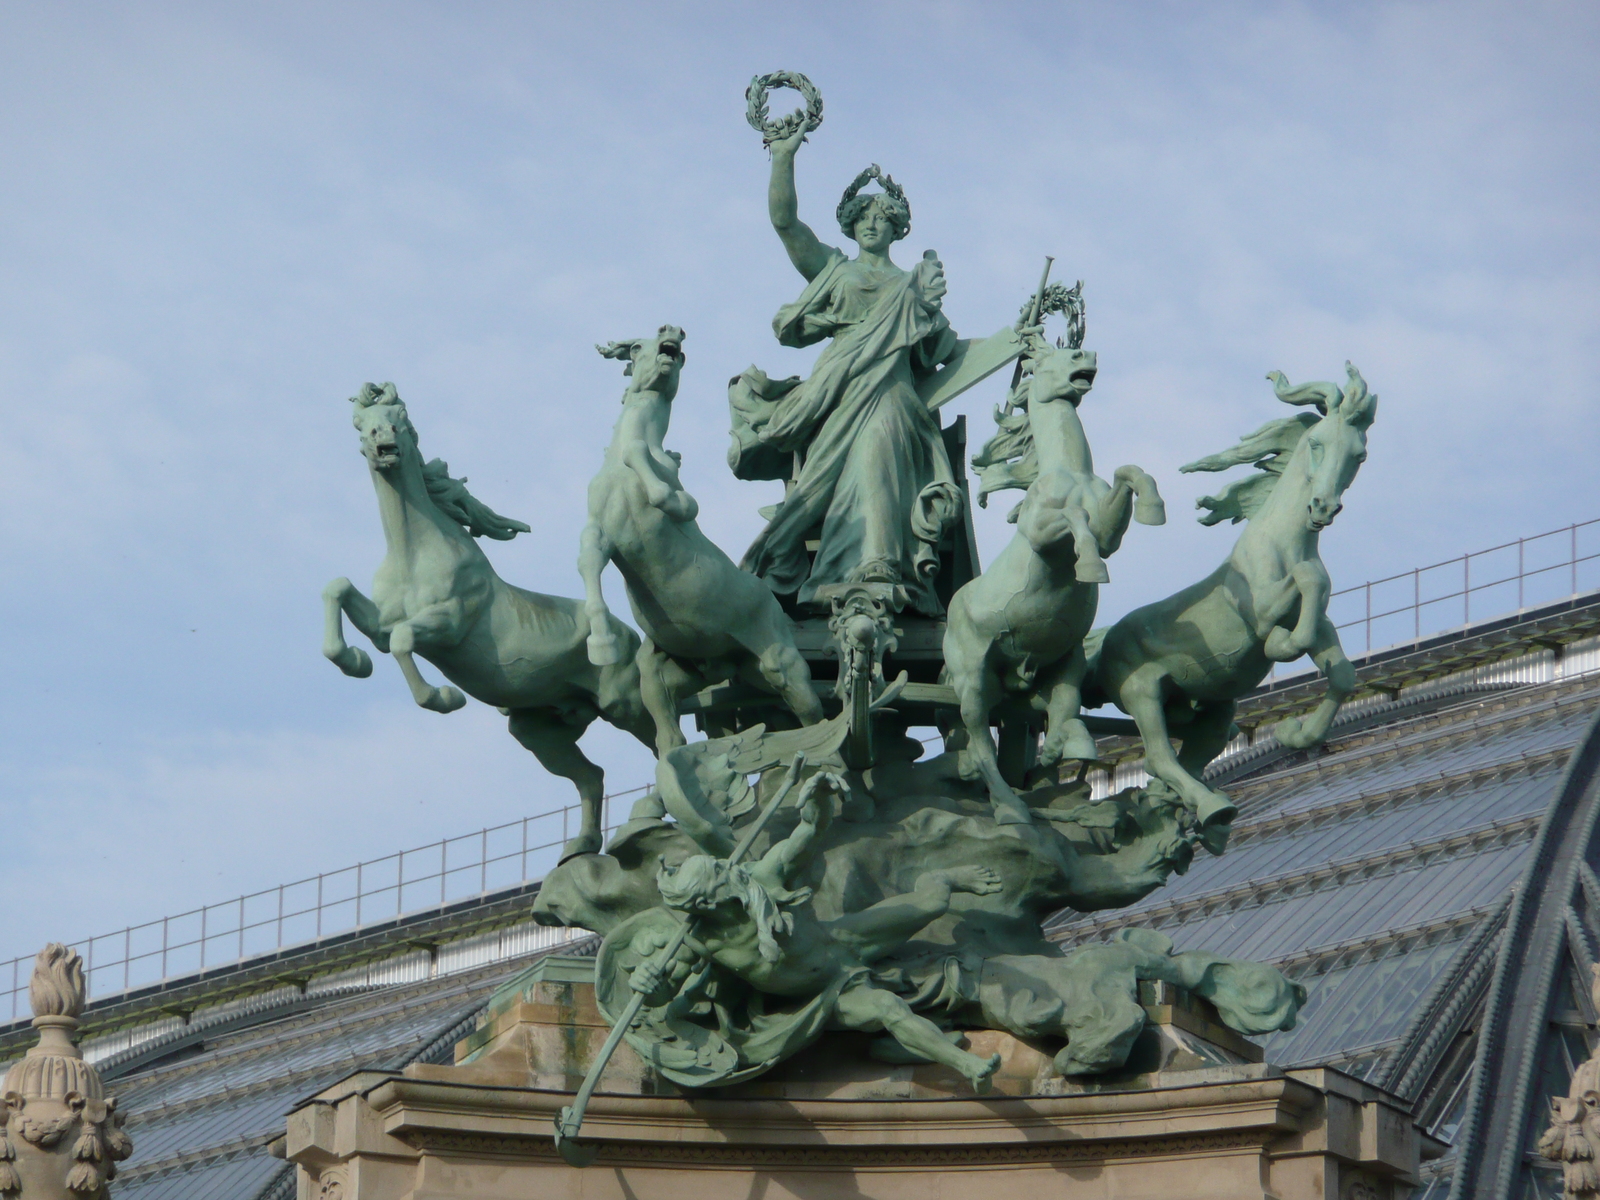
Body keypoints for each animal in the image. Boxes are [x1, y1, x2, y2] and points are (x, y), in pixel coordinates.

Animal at [324, 380, 656, 857]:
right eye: (360, 424)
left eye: (400, 418)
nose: (382, 442)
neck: (414, 555)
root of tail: (631, 636)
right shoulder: (380, 626)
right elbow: (339, 590)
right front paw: (354, 661)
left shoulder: (448, 623)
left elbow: (406, 640)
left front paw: (444, 698)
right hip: (540, 732)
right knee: (592, 776)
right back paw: (580, 846)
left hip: (625, 705)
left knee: (666, 743)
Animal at [1088, 366, 1376, 844]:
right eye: (1316, 443)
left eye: (1360, 455)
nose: (1323, 507)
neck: (1283, 544)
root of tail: (1102, 648)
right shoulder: (1262, 608)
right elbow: (1305, 585)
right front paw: (1280, 646)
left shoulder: (1320, 626)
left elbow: (1342, 672)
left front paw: (1297, 734)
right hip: (1141, 691)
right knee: (1158, 757)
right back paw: (1213, 808)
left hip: (1211, 710)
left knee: (1181, 760)